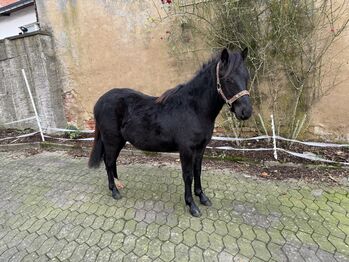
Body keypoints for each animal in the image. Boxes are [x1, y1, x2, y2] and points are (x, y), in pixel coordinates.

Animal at [87, 48, 250, 216]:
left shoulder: (200, 148)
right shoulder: (186, 150)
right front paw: (192, 205)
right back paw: (115, 191)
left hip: (119, 141)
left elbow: (198, 171)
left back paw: (119, 184)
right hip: (111, 140)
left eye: (247, 77)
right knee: (108, 162)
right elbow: (188, 175)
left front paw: (202, 197)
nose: (246, 112)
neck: (194, 109)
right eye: (228, 79)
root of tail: (99, 101)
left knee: (112, 162)